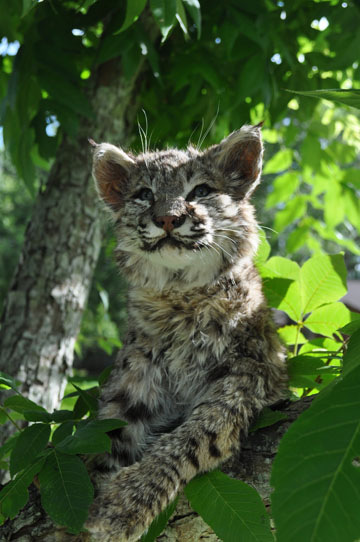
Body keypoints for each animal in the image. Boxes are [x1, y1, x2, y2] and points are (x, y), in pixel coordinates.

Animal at [86, 124, 286, 542]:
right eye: (144, 194)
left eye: (201, 191)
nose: (167, 218)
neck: (181, 294)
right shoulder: (134, 380)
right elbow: (110, 435)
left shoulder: (246, 376)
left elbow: (192, 436)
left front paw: (128, 501)